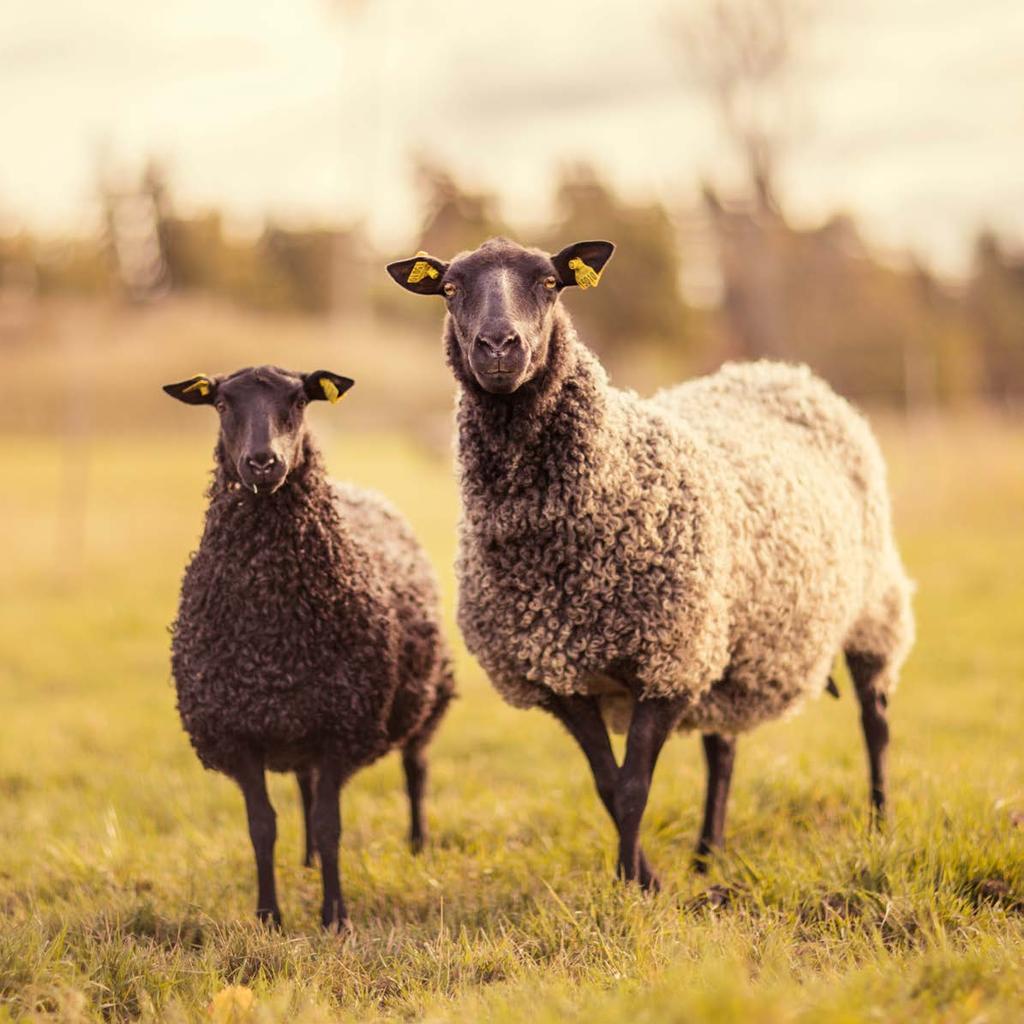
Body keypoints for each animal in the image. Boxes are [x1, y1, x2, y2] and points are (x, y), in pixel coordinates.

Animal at [163, 366, 452, 929]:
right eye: (222, 403)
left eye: (299, 400)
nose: (262, 461)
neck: (274, 629)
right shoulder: (239, 732)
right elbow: (263, 826)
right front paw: (268, 916)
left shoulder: (341, 727)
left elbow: (328, 823)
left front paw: (334, 915)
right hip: (296, 724)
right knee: (305, 786)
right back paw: (308, 862)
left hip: (426, 698)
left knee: (416, 768)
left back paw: (416, 843)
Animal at [387, 237, 917, 888]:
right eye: (450, 288)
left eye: (549, 283)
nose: (499, 347)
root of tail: (782, 372)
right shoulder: (557, 675)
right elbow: (607, 785)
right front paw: (639, 875)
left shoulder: (668, 660)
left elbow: (634, 787)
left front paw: (637, 886)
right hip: (728, 638)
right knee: (723, 747)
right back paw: (708, 853)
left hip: (871, 606)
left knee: (876, 720)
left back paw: (879, 822)